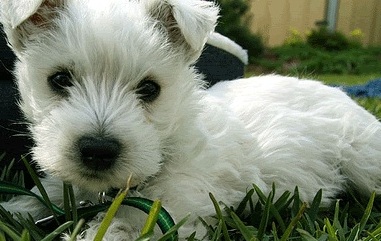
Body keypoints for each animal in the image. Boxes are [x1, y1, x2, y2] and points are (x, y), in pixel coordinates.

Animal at [0, 0, 380, 239]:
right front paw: (14, 207)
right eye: (59, 79)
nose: (98, 150)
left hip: (364, 158)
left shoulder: (171, 211)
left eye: (150, 88)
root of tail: (338, 92)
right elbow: (40, 195)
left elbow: (119, 229)